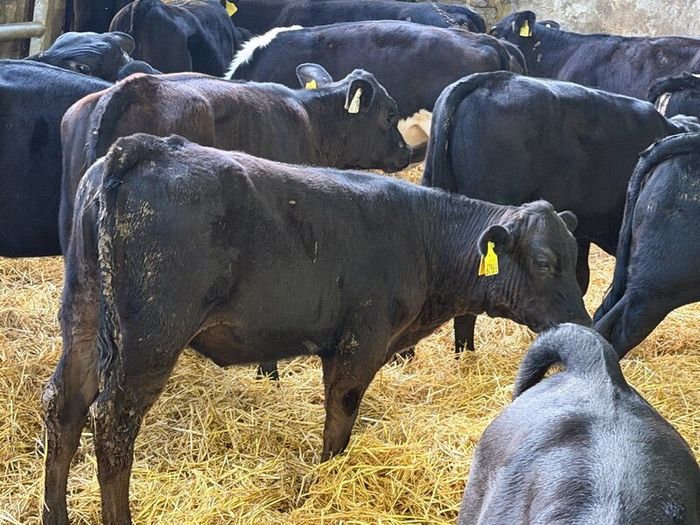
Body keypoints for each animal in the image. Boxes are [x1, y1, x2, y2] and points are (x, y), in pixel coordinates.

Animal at [42, 132, 590, 525]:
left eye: (574, 254)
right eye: (545, 261)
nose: (583, 325)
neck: (424, 238)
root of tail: (139, 147)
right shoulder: (360, 343)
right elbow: (340, 419)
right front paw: (327, 479)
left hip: (84, 316)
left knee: (63, 406)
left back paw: (56, 515)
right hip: (149, 339)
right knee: (113, 422)